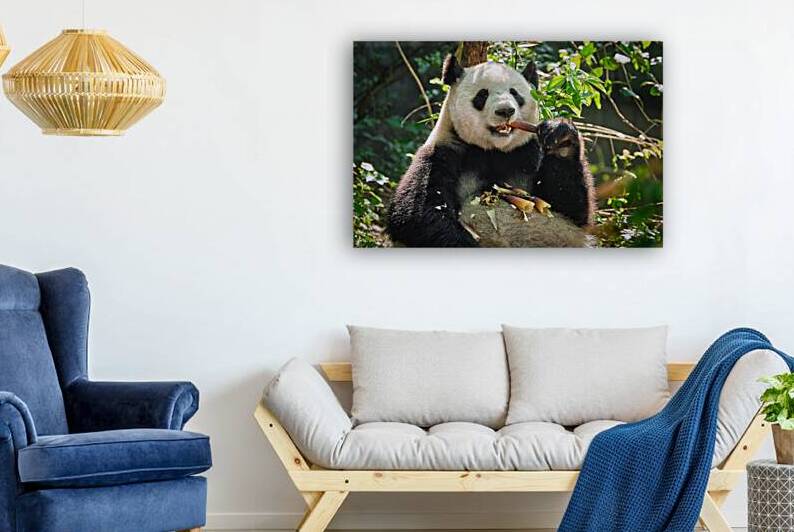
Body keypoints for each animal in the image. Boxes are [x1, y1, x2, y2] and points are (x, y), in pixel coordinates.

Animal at [387, 54, 595, 247]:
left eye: (515, 93)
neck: (493, 150)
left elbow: (569, 208)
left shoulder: (528, 153)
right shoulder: (443, 153)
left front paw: (561, 138)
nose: (505, 111)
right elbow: (418, 213)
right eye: (482, 94)